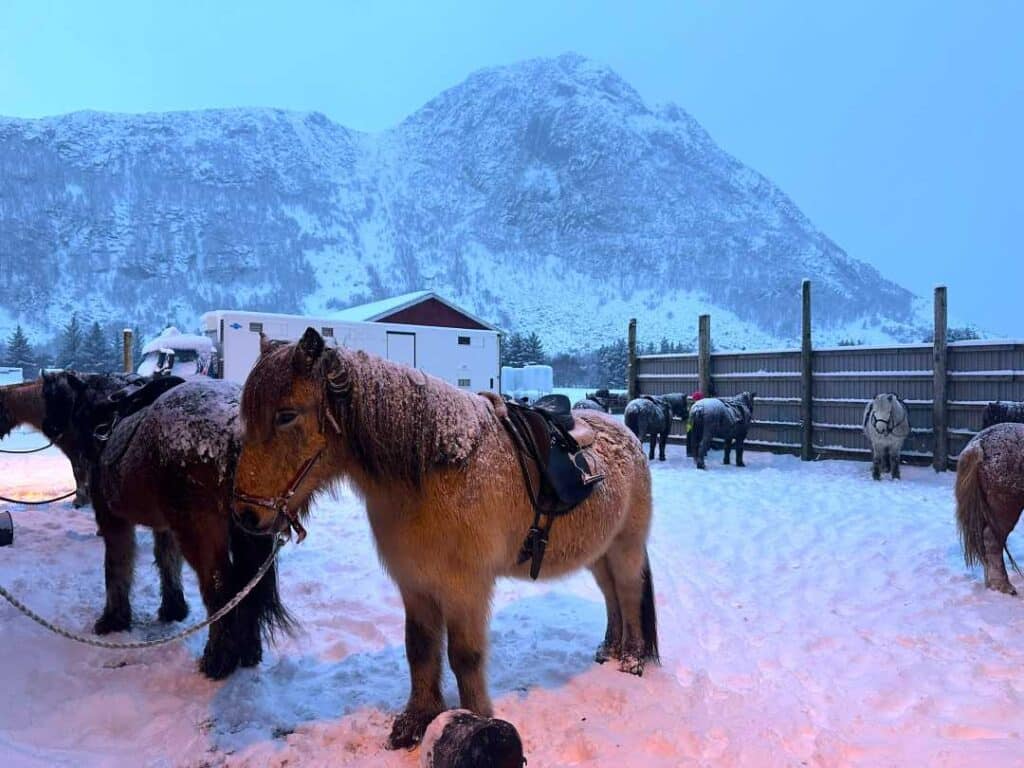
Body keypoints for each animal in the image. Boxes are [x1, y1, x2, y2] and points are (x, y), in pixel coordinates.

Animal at [41, 371, 291, 678]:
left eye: (52, 397)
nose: (48, 426)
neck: (109, 417)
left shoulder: (114, 521)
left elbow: (117, 566)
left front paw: (114, 619)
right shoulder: (165, 526)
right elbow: (167, 560)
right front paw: (173, 608)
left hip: (199, 532)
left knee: (220, 589)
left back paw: (217, 660)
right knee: (246, 587)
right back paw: (248, 652)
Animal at [233, 329, 658, 749]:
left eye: (286, 415)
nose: (245, 516)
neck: (436, 471)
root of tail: (626, 434)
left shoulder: (464, 588)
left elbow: (464, 655)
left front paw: (477, 720)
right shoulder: (416, 584)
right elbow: (419, 649)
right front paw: (417, 720)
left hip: (625, 548)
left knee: (628, 593)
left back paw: (632, 660)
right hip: (599, 551)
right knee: (611, 595)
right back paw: (609, 650)